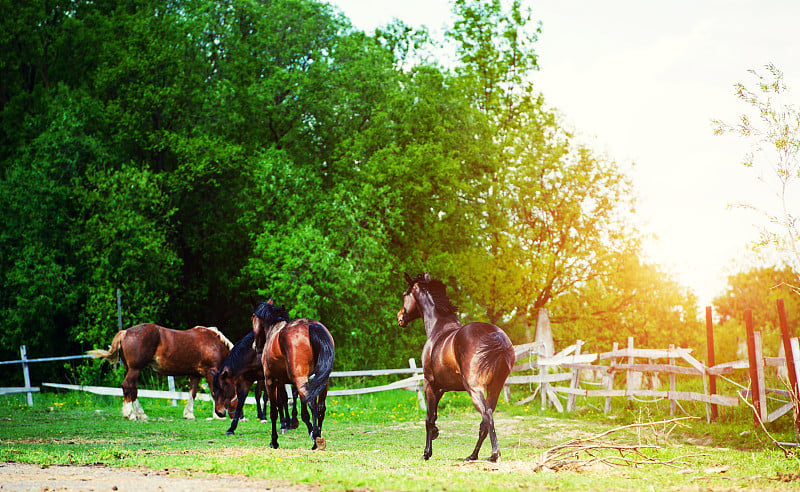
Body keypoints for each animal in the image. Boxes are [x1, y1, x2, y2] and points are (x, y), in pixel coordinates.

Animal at [88, 322, 231, 418]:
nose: (224, 413)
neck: (213, 343)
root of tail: (125, 332)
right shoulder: (210, 372)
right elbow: (213, 391)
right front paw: (216, 415)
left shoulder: (195, 374)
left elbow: (192, 393)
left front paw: (189, 414)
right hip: (135, 369)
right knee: (128, 386)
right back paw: (131, 414)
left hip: (130, 369)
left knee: (133, 389)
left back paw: (141, 414)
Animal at [253, 300, 334, 450]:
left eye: (253, 318)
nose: (255, 346)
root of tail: (310, 325)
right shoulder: (290, 381)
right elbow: (299, 407)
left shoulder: (271, 381)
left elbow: (274, 410)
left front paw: (274, 441)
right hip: (322, 381)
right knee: (320, 407)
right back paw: (318, 436)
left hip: (298, 379)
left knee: (312, 404)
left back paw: (316, 440)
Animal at [396, 272, 516, 462]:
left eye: (404, 294)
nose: (400, 317)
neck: (438, 329)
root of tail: (497, 336)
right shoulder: (441, 388)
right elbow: (434, 416)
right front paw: (435, 434)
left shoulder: (429, 384)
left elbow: (429, 418)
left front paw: (426, 453)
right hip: (495, 387)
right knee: (485, 421)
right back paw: (473, 455)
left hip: (474, 389)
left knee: (487, 415)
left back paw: (494, 454)